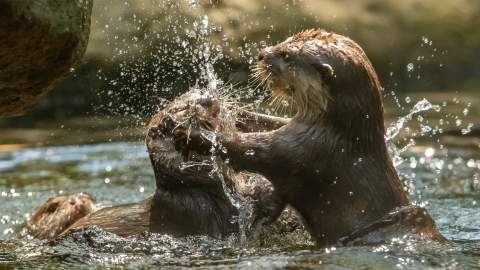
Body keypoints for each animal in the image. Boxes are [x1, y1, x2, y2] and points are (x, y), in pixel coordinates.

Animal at [171, 29, 444, 247]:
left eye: (286, 56)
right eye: (286, 40)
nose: (261, 54)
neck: (340, 132)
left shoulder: (304, 150)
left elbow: (245, 148)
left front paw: (189, 133)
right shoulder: (296, 128)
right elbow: (266, 121)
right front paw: (229, 108)